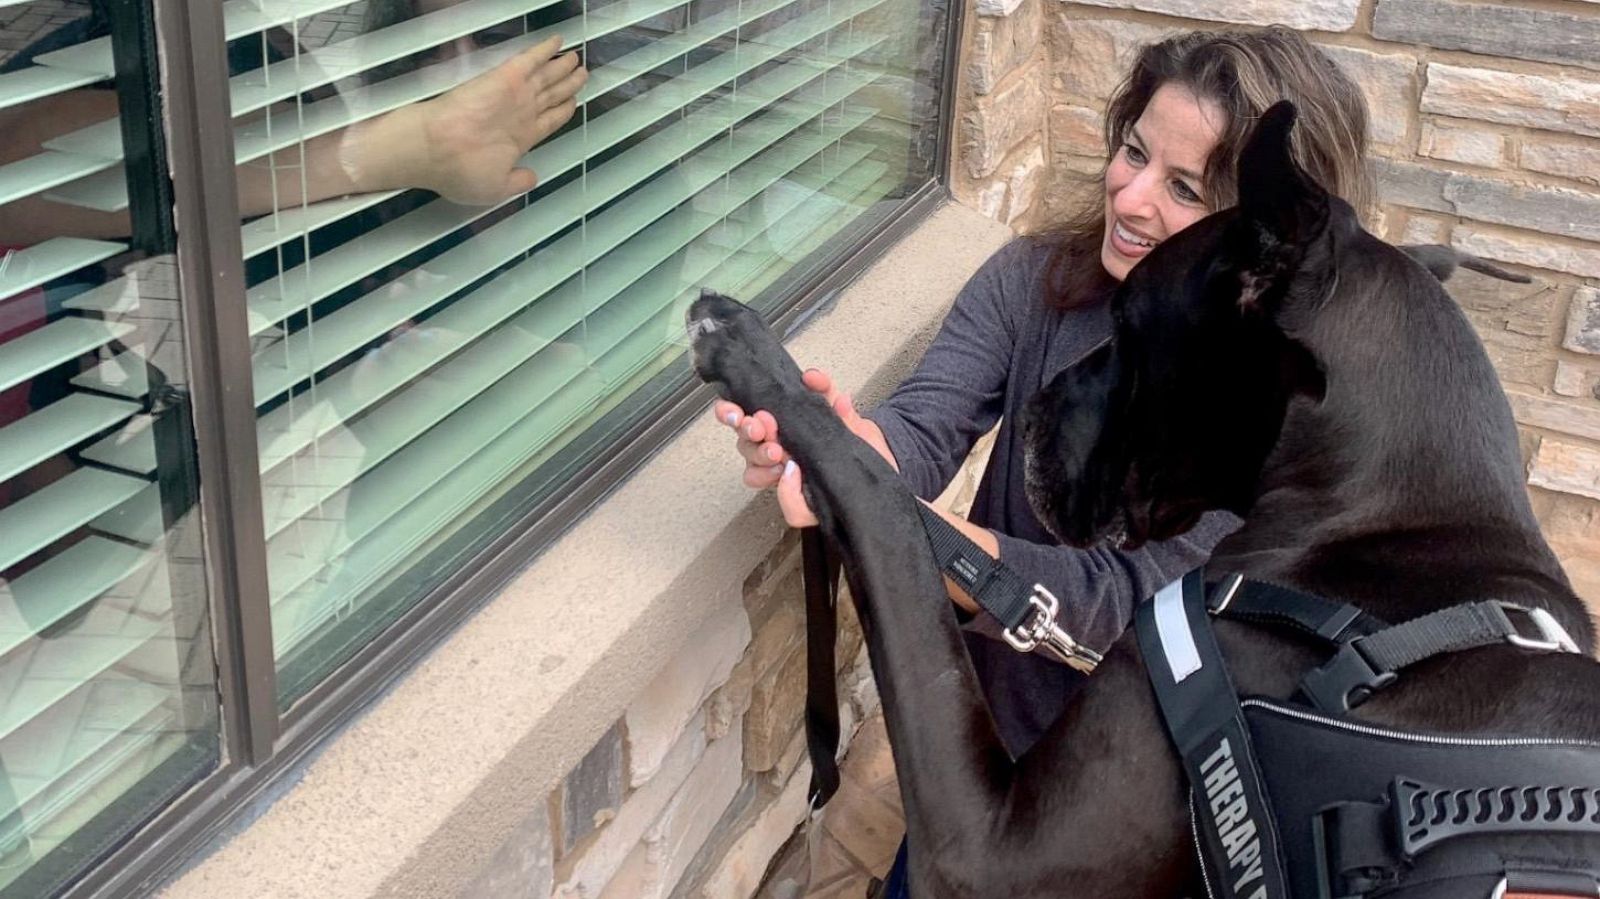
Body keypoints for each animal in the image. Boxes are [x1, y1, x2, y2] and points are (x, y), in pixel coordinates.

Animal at [688, 103, 1600, 889]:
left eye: (1128, 325)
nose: (1032, 414)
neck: (1374, 521)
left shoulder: (994, 853)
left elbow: (887, 507)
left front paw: (753, 356)